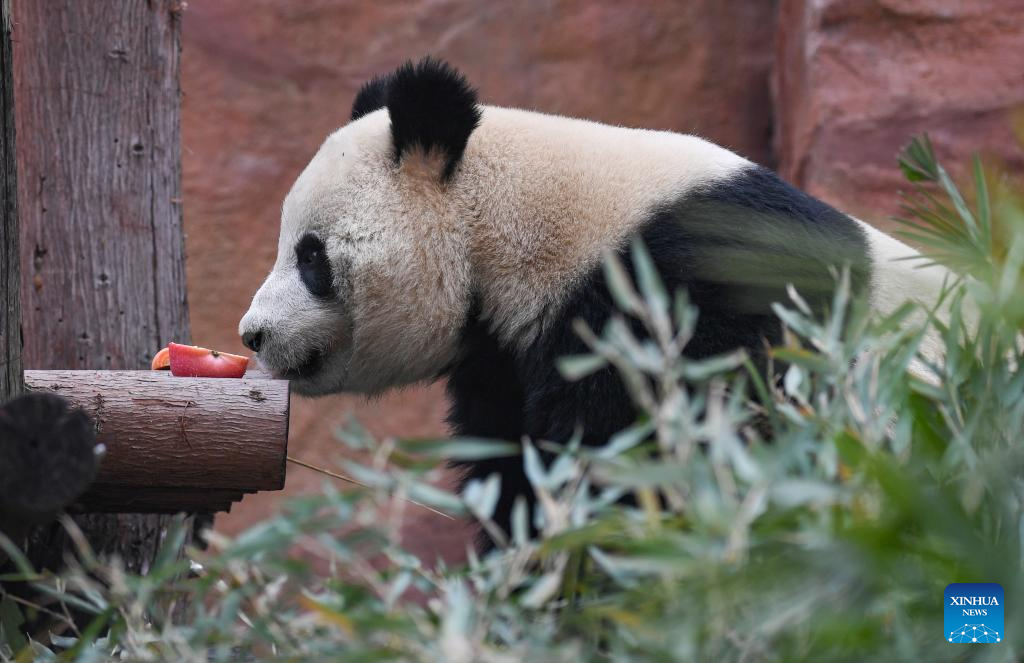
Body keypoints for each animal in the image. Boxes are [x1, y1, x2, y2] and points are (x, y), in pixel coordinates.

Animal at [241, 57, 950, 541]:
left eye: (310, 256)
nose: (254, 333)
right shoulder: (502, 360)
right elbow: (517, 476)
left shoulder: (685, 296)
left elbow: (640, 465)